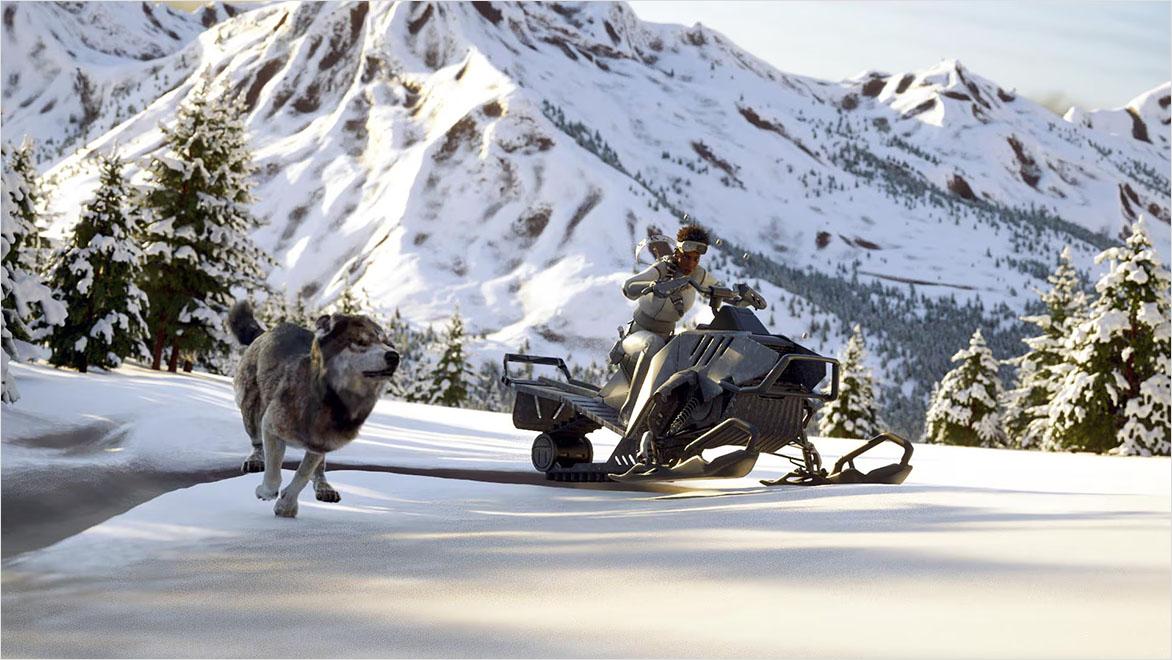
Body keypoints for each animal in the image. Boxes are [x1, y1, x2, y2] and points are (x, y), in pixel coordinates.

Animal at [228, 302, 399, 518]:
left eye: (389, 344)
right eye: (360, 342)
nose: (394, 356)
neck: (330, 402)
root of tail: (267, 332)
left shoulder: (320, 443)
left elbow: (303, 474)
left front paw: (286, 506)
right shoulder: (271, 427)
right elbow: (274, 473)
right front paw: (267, 493)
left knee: (319, 470)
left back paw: (325, 488)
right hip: (250, 409)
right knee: (256, 442)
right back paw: (255, 460)